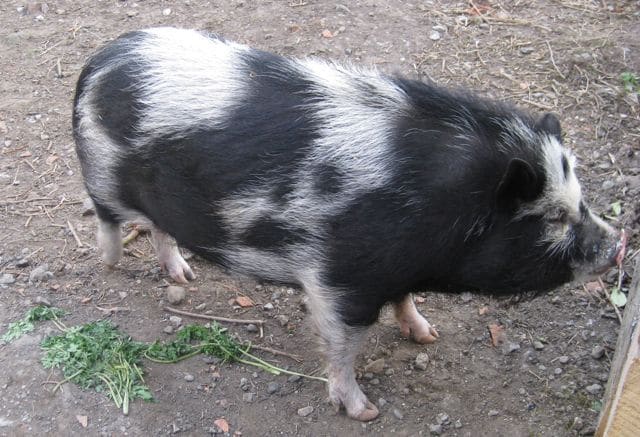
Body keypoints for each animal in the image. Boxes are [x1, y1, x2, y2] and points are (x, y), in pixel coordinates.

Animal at [73, 28, 626, 421]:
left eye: (582, 202)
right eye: (553, 217)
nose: (618, 244)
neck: (444, 207)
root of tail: (101, 60)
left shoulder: (395, 272)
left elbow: (404, 302)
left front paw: (427, 336)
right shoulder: (342, 278)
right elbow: (343, 345)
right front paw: (365, 412)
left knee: (162, 228)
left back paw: (184, 276)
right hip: (101, 178)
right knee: (108, 219)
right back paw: (111, 262)